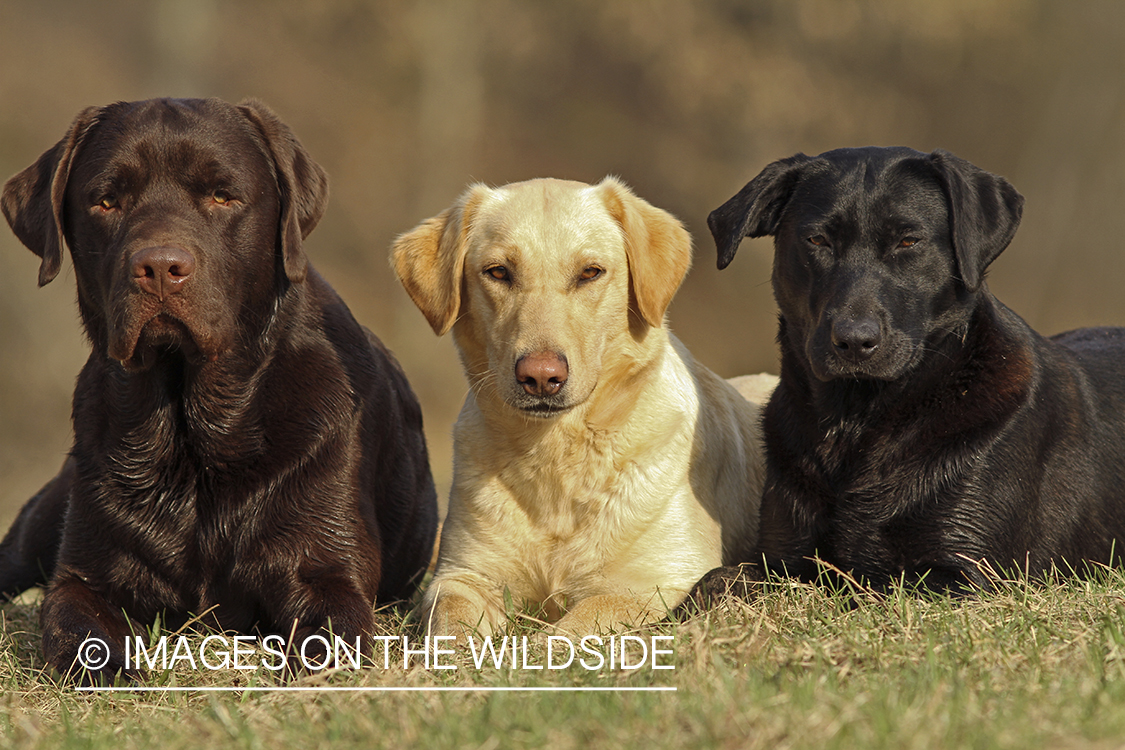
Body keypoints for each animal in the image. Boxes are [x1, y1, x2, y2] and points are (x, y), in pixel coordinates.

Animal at [0, 96, 436, 683]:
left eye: (222, 196)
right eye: (107, 201)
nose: (160, 266)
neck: (189, 435)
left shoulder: (325, 571)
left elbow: (325, 638)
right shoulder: (82, 575)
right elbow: (76, 627)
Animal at [706, 148, 1125, 593]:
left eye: (908, 241)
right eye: (817, 240)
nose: (854, 340)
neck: (856, 418)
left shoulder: (967, 573)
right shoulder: (780, 556)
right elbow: (718, 580)